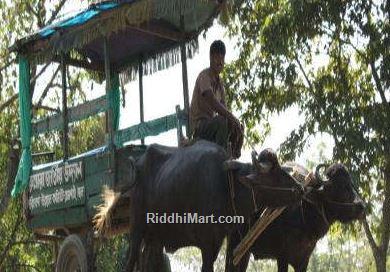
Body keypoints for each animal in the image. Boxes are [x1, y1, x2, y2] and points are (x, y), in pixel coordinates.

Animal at [116, 141, 304, 270]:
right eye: (274, 174)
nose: (300, 188)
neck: (226, 185)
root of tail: (138, 166)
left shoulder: (217, 242)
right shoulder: (206, 242)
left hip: (155, 239)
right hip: (136, 228)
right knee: (130, 260)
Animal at [225, 163, 366, 270]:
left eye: (351, 184)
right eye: (341, 187)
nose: (362, 207)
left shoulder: (304, 260)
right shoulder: (282, 256)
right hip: (236, 246)